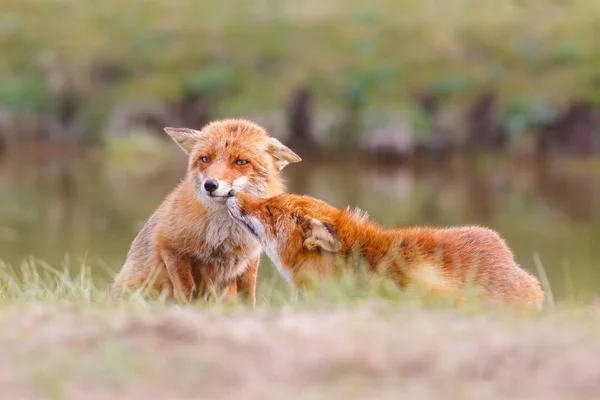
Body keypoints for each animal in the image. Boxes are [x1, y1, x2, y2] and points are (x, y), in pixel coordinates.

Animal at [109, 118, 300, 304]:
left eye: (241, 162)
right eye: (205, 159)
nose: (210, 185)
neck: (226, 236)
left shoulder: (249, 260)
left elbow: (248, 299)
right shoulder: (170, 247)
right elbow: (188, 294)